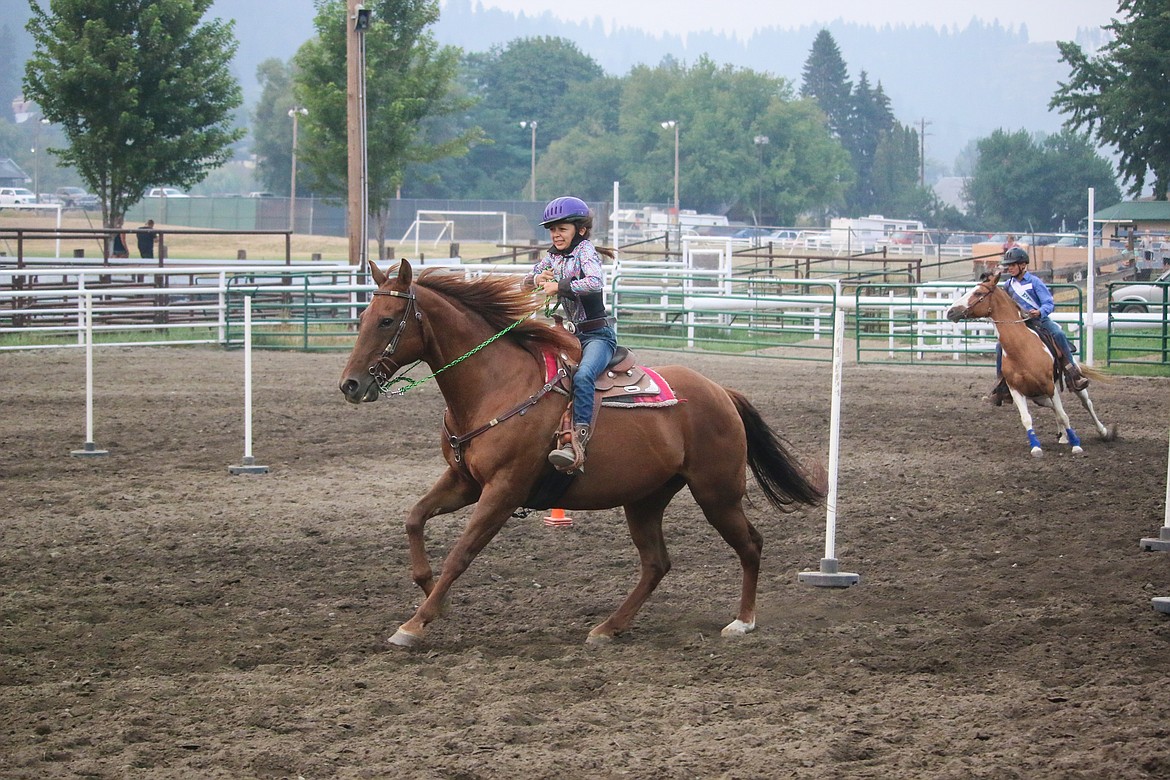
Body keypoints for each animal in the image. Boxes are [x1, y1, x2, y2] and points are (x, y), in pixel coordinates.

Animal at [339, 259, 828, 650]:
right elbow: (414, 519)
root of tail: (721, 392)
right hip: (646, 498)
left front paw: (414, 624)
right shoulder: (465, 482)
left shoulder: (504, 490)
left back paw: (742, 622)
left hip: (717, 493)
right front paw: (431, 597)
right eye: (363, 317)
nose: (350, 385)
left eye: (387, 321)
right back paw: (609, 627)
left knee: (750, 544)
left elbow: (461, 553)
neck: (495, 385)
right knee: (656, 563)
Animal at [940, 274, 1113, 458]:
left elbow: (1064, 415)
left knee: (1086, 403)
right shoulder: (1016, 389)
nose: (950, 311)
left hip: (1071, 383)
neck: (1022, 348)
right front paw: (1036, 447)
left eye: (978, 292)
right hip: (1038, 396)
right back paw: (1063, 436)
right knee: (1054, 407)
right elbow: (1027, 418)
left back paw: (1102, 432)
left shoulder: (1049, 385)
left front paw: (1076, 445)